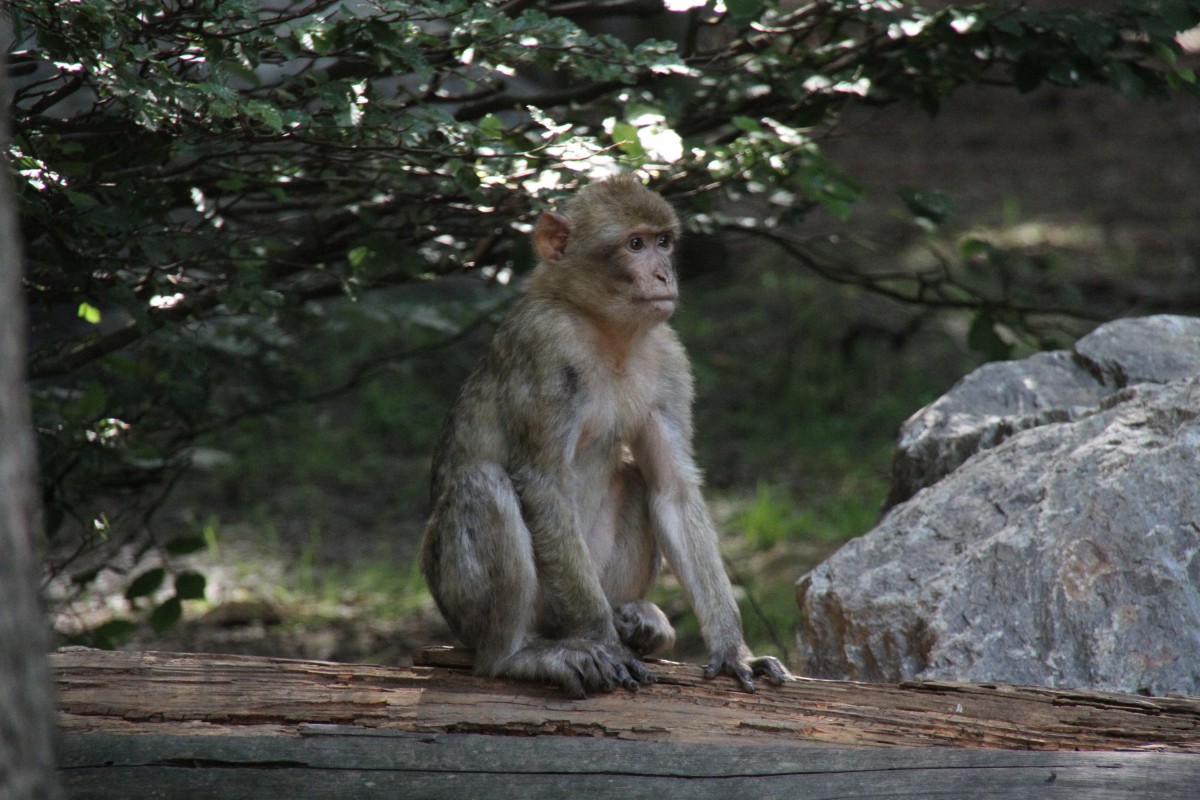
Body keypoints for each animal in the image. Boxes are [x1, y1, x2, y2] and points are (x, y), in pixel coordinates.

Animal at [422, 175, 796, 700]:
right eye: (634, 245)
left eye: (663, 242)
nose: (663, 276)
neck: (605, 330)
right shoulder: (546, 345)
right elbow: (542, 484)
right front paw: (606, 644)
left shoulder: (668, 359)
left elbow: (672, 490)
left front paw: (731, 649)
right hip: (467, 602)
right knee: (482, 482)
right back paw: (517, 654)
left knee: (634, 478)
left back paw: (638, 620)